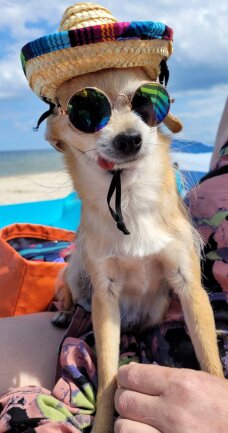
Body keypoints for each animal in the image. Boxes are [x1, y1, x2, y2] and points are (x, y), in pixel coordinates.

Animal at [45, 66, 223, 430]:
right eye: (84, 113)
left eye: (148, 103)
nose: (129, 138)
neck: (128, 197)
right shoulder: (105, 298)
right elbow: (107, 380)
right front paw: (101, 425)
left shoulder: (189, 286)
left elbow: (210, 358)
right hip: (75, 273)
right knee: (69, 292)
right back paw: (64, 313)